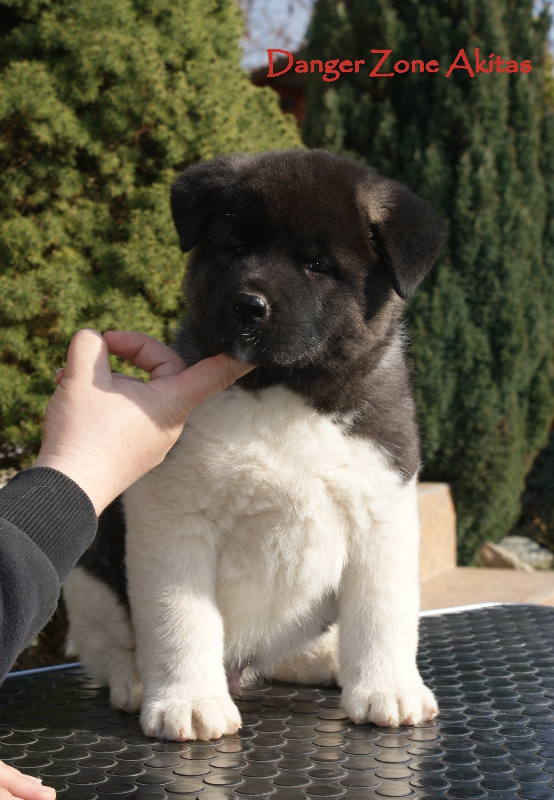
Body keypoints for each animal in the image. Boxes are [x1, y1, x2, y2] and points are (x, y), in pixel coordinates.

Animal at [63, 149, 447, 741]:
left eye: (318, 265)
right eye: (236, 247)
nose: (249, 305)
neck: (283, 390)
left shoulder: (382, 511)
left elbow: (383, 613)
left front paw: (388, 688)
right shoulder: (172, 516)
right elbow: (180, 620)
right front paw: (190, 701)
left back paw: (323, 658)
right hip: (90, 573)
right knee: (105, 647)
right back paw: (134, 680)